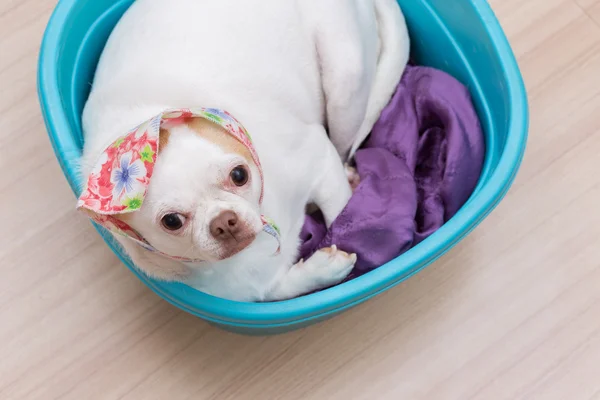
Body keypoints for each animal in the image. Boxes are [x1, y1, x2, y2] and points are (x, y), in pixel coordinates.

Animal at [81, 0, 408, 300]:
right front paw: (323, 268)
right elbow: (276, 289)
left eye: (239, 175)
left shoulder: (319, 162)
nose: (223, 222)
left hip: (345, 79)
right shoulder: (250, 291)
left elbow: (341, 212)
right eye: (171, 221)